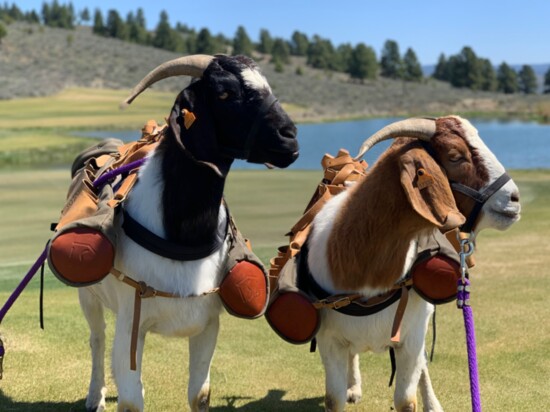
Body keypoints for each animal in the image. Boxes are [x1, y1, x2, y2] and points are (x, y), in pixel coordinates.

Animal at [308, 116, 524, 412]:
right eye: (455, 156)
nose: (514, 199)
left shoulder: (411, 338)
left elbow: (407, 399)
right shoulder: (329, 340)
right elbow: (334, 399)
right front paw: (349, 391)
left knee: (422, 365)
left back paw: (432, 404)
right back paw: (354, 387)